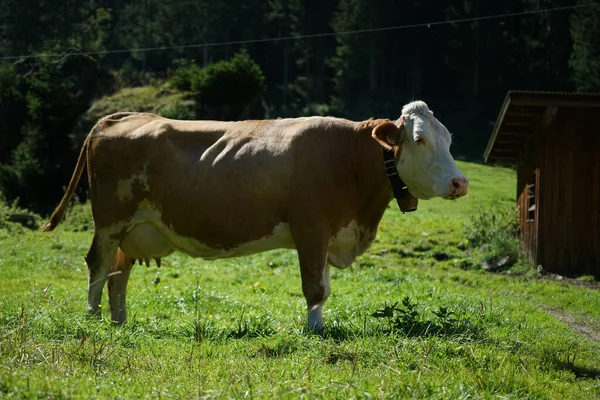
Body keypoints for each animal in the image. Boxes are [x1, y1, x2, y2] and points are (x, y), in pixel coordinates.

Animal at [42, 101, 468, 332]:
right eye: (419, 139)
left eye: (449, 139)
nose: (460, 182)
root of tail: (122, 117)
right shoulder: (310, 229)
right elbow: (315, 288)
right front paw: (315, 330)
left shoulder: (328, 234)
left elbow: (324, 286)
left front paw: (320, 325)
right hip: (110, 220)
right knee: (97, 264)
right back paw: (93, 318)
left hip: (134, 228)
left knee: (118, 272)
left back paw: (119, 321)